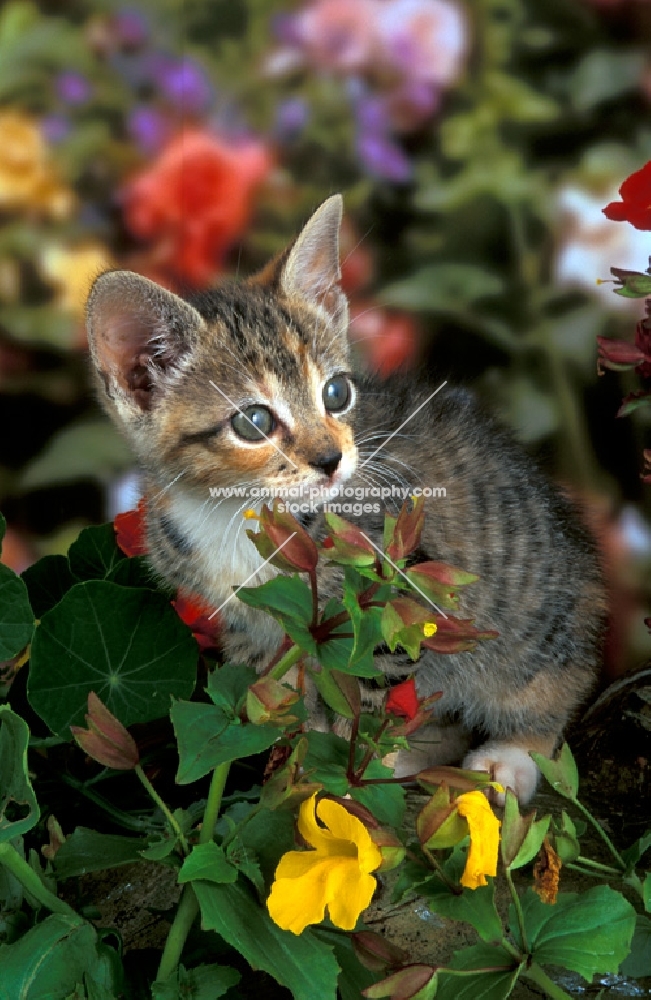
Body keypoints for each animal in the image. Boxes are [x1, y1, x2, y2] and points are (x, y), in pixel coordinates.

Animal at [85, 195, 608, 804]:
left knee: (550, 687)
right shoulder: (253, 629)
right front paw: (298, 773)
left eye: (336, 393)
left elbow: (372, 705)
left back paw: (509, 757)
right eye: (253, 422)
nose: (332, 459)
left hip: (529, 628)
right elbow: (290, 702)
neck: (234, 513)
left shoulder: (394, 605)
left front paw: (354, 784)